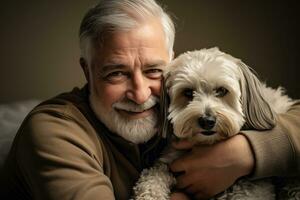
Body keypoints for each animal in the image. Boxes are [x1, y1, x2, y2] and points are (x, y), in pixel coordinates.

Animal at [134, 47, 300, 200]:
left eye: (221, 90)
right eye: (188, 92)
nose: (207, 121)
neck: (206, 144)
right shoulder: (167, 162)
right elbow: (153, 177)